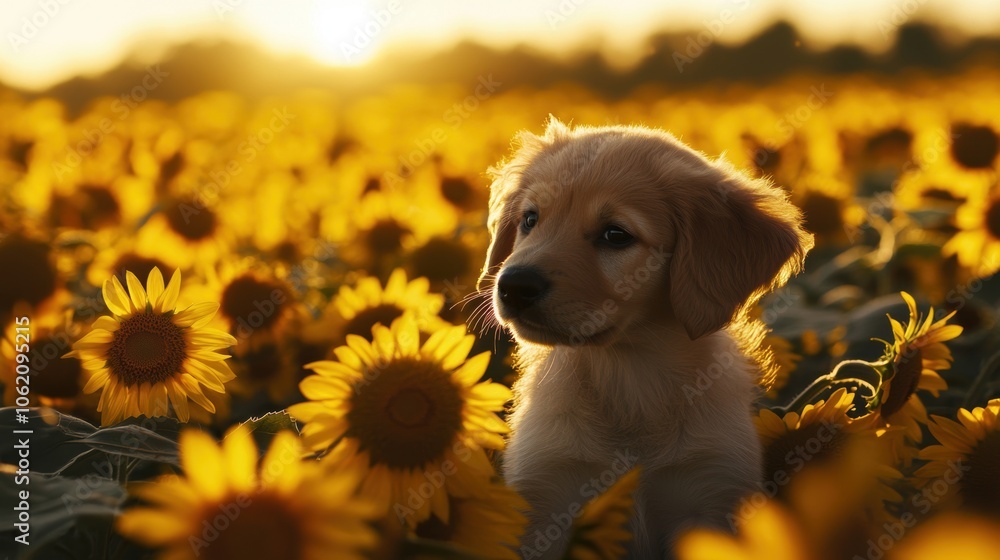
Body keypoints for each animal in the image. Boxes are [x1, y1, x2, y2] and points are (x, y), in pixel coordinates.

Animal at [480, 116, 816, 556]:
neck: (629, 377)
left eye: (616, 235)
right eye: (530, 220)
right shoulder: (545, 497)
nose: (513, 286)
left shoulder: (711, 489)